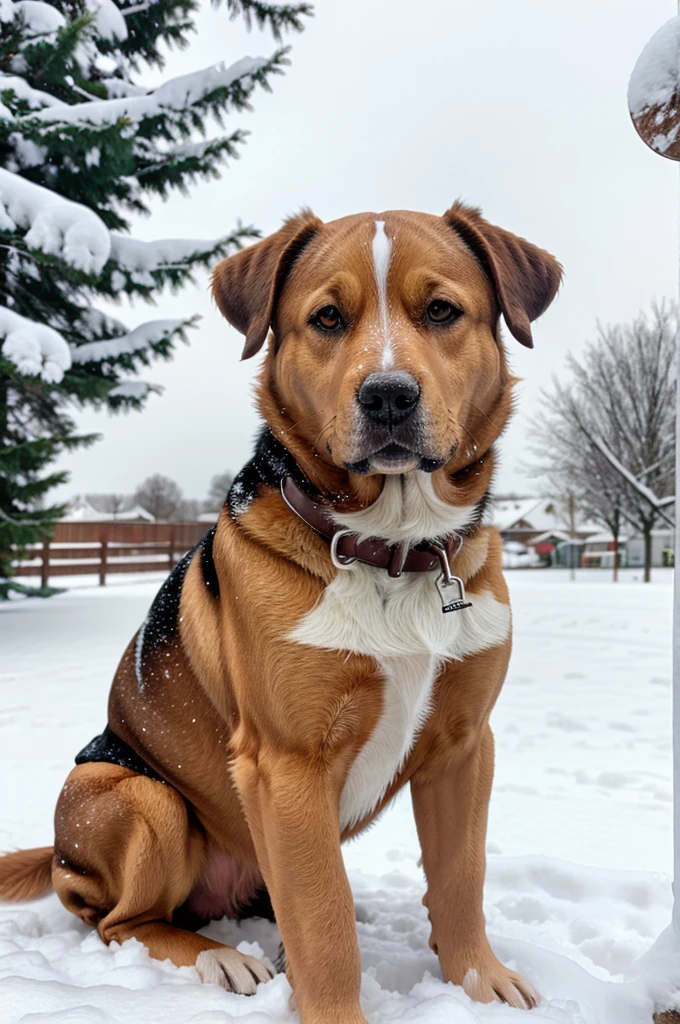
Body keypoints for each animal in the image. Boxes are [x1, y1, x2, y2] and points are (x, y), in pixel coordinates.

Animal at [0, 203, 561, 1019]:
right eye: (327, 318)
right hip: (136, 795)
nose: (388, 395)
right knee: (121, 922)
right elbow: (324, 928)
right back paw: (219, 958)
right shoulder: (287, 765)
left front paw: (478, 983)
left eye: (441, 311)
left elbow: (461, 878)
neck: (393, 548)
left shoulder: (464, 746)